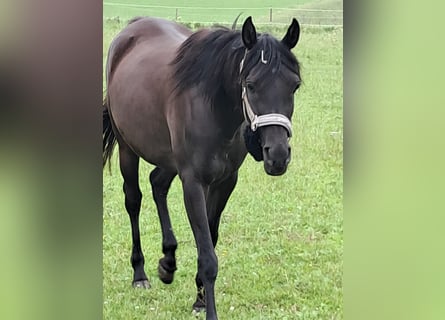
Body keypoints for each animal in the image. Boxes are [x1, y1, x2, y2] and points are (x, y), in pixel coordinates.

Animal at [102, 15, 300, 320]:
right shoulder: (193, 183)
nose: (277, 155)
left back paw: (168, 261)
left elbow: (210, 237)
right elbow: (207, 255)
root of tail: (134, 26)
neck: (214, 108)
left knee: (158, 183)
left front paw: (199, 298)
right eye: (251, 84)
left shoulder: (225, 182)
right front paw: (208, 309)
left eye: (295, 85)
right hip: (128, 149)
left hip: (168, 159)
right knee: (133, 200)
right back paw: (140, 272)